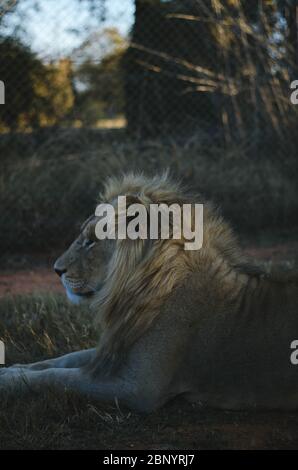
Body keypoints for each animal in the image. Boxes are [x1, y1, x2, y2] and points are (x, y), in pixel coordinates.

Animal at [1, 173, 298, 412]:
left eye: (91, 241)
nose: (56, 270)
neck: (139, 292)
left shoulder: (138, 387)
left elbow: (59, 378)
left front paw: (8, 381)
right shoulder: (117, 348)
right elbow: (63, 360)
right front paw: (14, 368)